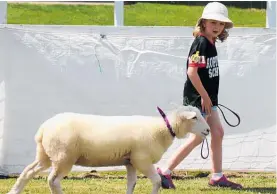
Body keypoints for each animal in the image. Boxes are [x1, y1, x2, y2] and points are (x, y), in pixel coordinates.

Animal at [7, 106, 208, 194]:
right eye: (195, 117)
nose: (207, 131)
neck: (163, 129)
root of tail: (43, 129)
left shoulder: (130, 161)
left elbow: (131, 183)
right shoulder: (142, 160)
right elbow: (157, 181)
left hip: (46, 155)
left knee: (28, 171)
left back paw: (14, 191)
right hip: (63, 156)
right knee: (53, 180)